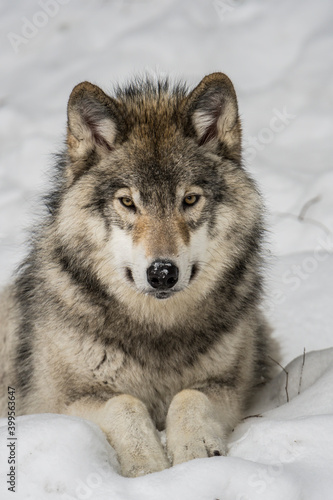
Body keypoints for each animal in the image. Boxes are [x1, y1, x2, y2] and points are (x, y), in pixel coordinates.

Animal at [0, 73, 274, 476]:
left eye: (189, 200)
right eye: (128, 202)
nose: (162, 273)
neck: (156, 329)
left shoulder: (230, 386)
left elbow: (189, 396)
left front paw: (194, 455)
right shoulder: (59, 400)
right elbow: (124, 403)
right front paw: (148, 466)